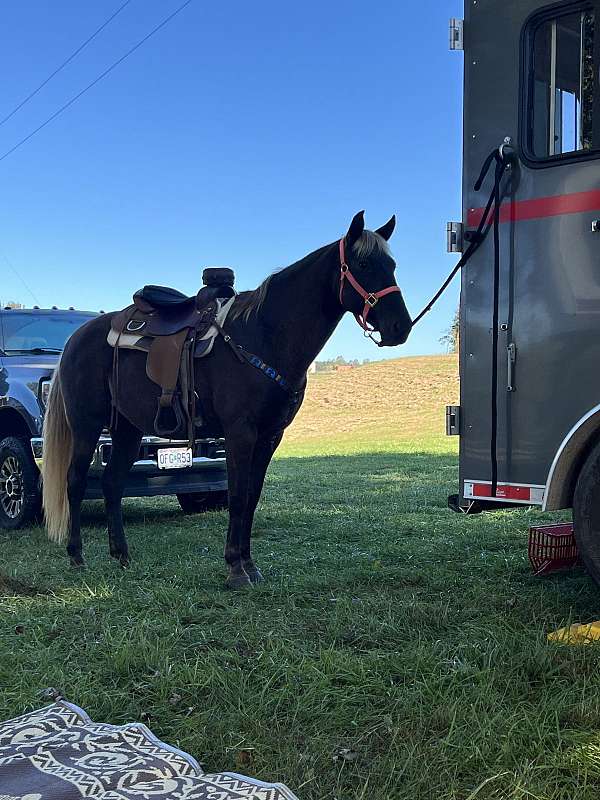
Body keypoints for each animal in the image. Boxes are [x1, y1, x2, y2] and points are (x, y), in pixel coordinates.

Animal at [41, 211, 412, 588]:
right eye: (363, 263)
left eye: (392, 265)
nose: (401, 326)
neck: (263, 334)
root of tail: (75, 339)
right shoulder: (240, 433)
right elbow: (237, 496)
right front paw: (235, 567)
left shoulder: (269, 436)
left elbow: (251, 497)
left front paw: (249, 564)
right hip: (86, 426)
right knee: (75, 482)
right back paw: (76, 556)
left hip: (127, 430)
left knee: (112, 483)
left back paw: (122, 556)